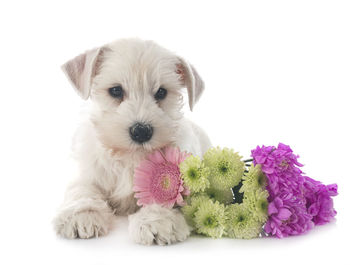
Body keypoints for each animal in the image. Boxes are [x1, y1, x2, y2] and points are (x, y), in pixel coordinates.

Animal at [52, 38, 211, 244]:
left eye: (161, 92)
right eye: (115, 90)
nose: (141, 131)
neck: (129, 158)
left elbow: (163, 191)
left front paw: (156, 220)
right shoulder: (87, 173)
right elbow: (81, 190)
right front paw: (81, 215)